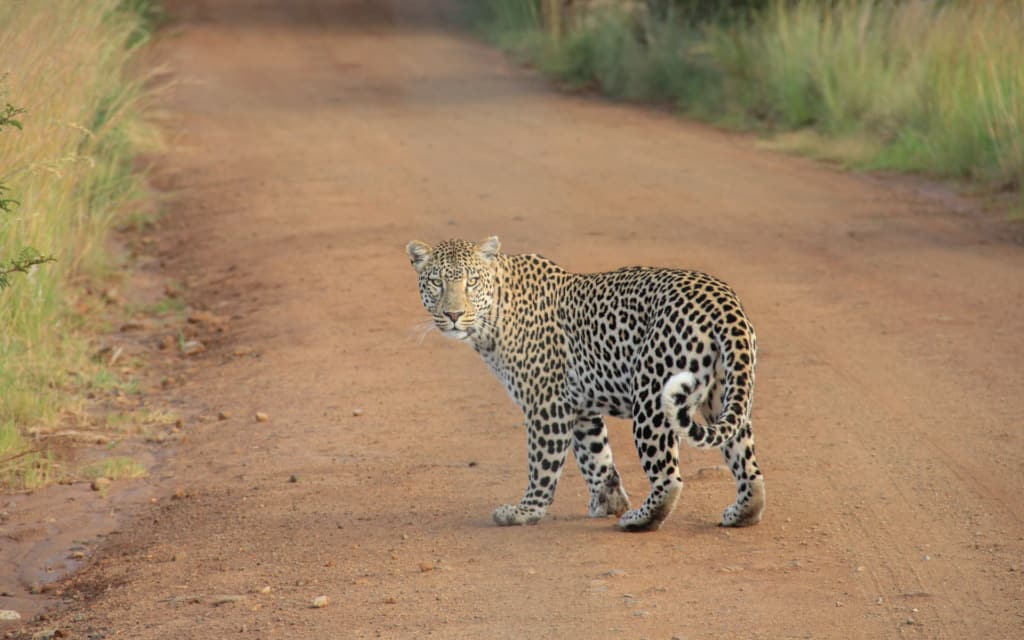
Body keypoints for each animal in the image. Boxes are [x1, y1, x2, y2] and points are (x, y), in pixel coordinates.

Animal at [406, 236, 765, 531]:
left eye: (472, 282)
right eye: (436, 282)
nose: (453, 315)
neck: (493, 317)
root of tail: (723, 301)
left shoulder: (546, 404)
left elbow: (543, 463)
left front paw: (525, 511)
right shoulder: (579, 406)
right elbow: (596, 457)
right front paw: (608, 501)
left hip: (652, 397)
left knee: (668, 477)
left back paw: (639, 519)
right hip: (724, 394)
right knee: (747, 463)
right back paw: (742, 513)